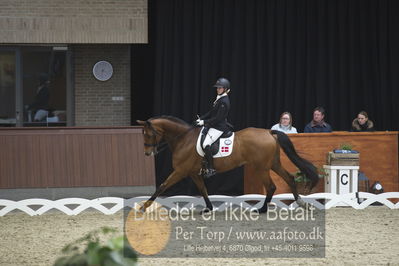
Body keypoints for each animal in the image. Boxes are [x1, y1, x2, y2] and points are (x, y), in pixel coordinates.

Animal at [138, 115, 318, 213]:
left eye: (148, 134)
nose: (147, 153)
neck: (184, 139)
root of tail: (269, 132)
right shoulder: (193, 173)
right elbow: (203, 190)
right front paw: (208, 208)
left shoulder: (181, 171)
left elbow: (162, 186)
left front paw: (144, 207)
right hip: (273, 164)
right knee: (289, 178)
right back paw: (301, 203)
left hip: (261, 168)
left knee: (271, 186)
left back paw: (262, 210)